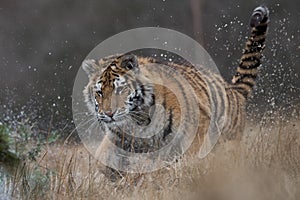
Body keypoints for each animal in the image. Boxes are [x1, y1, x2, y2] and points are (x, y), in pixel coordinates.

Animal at [80, 5, 270, 172]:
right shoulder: (119, 137)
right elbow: (105, 158)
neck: (137, 121)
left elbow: (194, 155)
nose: (108, 114)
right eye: (99, 92)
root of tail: (234, 90)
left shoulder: (198, 127)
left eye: (119, 90)